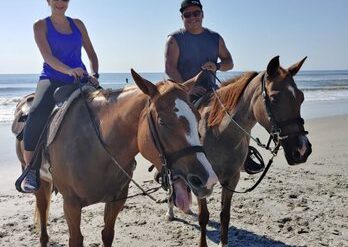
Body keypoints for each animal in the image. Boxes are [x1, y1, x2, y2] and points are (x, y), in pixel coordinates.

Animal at [12, 70, 218, 247]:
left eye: (198, 116)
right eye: (162, 121)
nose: (207, 179)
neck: (96, 147)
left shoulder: (116, 200)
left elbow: (107, 235)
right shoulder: (71, 205)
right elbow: (76, 239)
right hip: (40, 183)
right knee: (43, 226)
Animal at [167, 57, 312, 246]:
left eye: (301, 98)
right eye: (274, 99)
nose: (302, 150)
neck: (219, 133)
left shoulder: (232, 178)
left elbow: (225, 215)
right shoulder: (201, 181)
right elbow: (204, 216)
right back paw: (170, 212)